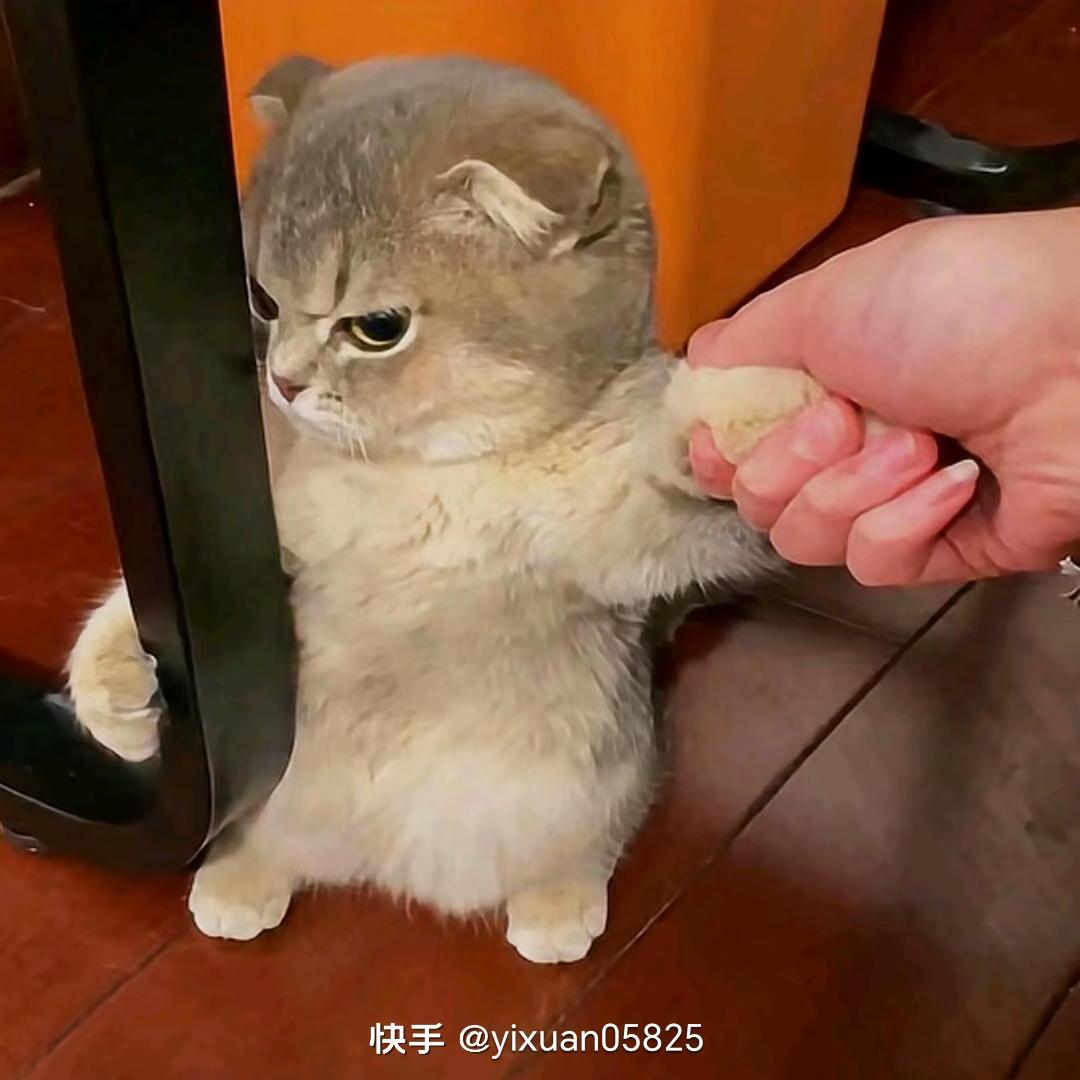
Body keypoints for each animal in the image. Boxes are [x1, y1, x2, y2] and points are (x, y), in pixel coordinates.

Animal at [67, 56, 801, 963]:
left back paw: (557, 900)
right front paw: (116, 686)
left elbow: (681, 465)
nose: (283, 380)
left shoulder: (617, 527)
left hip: (590, 787)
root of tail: (385, 860)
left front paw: (754, 411)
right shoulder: (260, 532)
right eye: (261, 301)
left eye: (377, 327)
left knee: (595, 840)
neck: (422, 476)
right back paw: (240, 875)